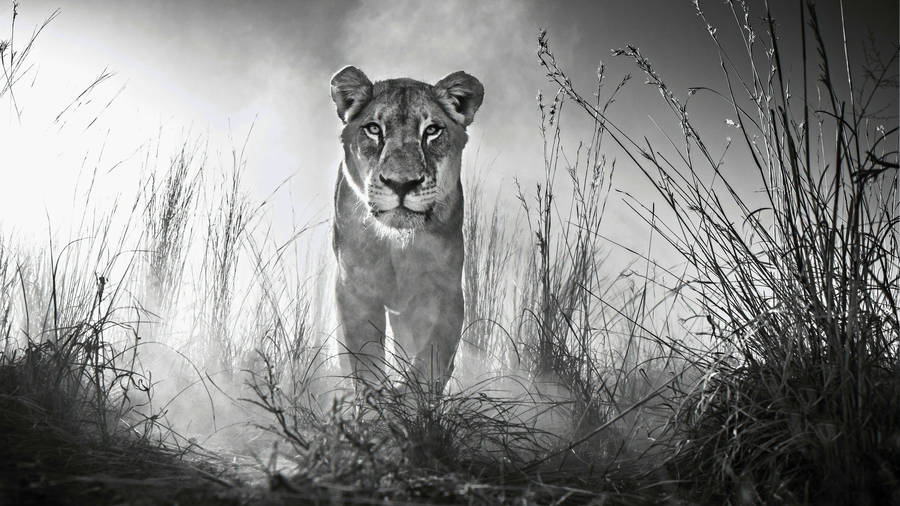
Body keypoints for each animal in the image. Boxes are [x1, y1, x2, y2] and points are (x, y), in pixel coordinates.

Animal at [329, 65, 484, 394]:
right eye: (374, 129)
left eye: (432, 130)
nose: (401, 184)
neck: (397, 245)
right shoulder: (355, 289)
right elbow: (364, 358)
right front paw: (375, 401)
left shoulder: (444, 291)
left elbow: (431, 359)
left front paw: (408, 398)